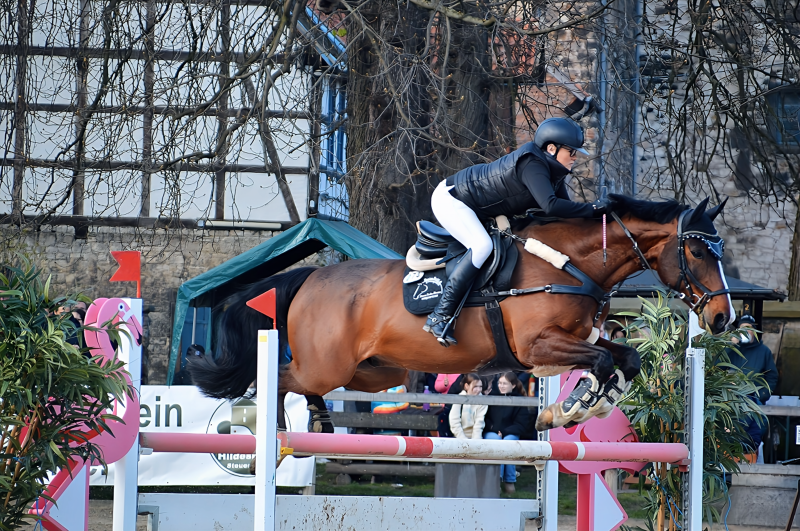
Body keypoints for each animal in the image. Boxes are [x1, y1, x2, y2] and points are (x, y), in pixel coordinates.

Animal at [186, 195, 732, 432]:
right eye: (697, 252)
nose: (724, 319)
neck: (571, 262)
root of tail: (311, 278)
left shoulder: (569, 344)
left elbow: (624, 361)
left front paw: (576, 409)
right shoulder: (537, 346)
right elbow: (601, 363)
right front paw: (571, 409)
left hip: (372, 372)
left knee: (306, 383)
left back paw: (317, 420)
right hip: (329, 364)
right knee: (278, 378)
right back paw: (274, 428)